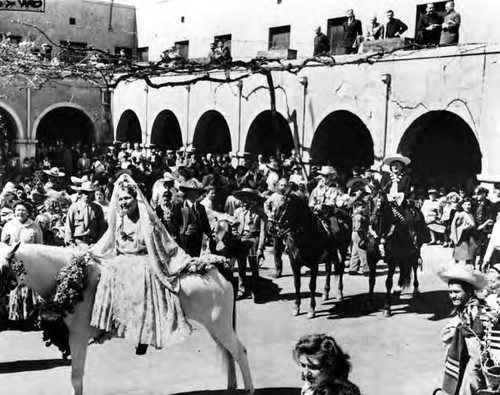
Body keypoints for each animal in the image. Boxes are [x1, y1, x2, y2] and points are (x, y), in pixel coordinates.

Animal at [0, 243, 254, 394]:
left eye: (3, 267)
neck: (70, 276)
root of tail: (218, 267)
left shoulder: (78, 337)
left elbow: (76, 376)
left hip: (220, 325)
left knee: (240, 351)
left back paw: (249, 389)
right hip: (216, 326)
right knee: (229, 353)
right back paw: (231, 387)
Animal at [372, 190, 426, 318]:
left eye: (384, 203)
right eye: (371, 200)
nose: (374, 221)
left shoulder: (392, 260)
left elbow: (388, 282)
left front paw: (387, 308)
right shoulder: (372, 258)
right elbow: (372, 280)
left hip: (414, 250)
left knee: (414, 266)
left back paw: (416, 291)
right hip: (403, 254)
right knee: (403, 269)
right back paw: (397, 291)